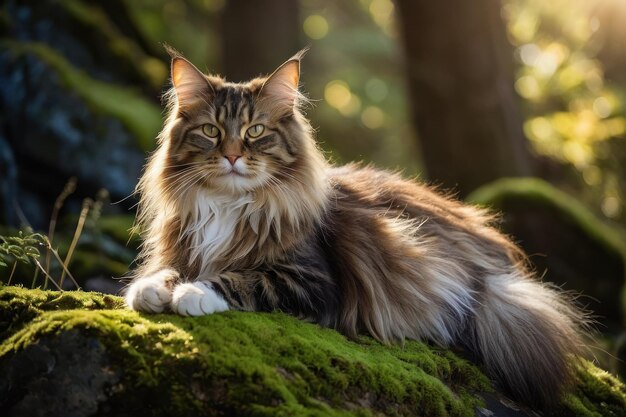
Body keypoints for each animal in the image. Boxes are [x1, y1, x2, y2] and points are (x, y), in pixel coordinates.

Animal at [125, 48, 584, 410]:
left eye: (255, 131)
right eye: (211, 131)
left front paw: (193, 293)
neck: (227, 205)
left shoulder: (310, 280)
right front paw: (150, 289)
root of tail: (500, 268)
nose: (233, 156)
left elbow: (239, 278)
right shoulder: (183, 248)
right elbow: (166, 270)